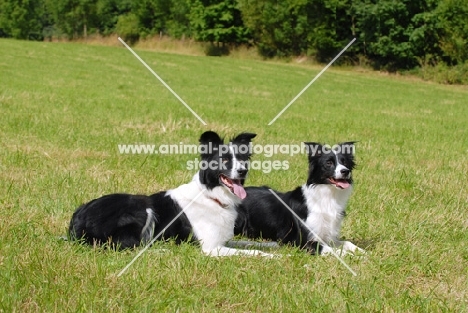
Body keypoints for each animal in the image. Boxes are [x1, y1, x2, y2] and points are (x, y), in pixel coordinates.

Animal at [69, 130, 272, 255]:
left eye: (242, 159)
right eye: (225, 160)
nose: (242, 171)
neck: (211, 195)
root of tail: (77, 219)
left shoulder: (223, 241)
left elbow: (249, 243)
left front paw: (272, 245)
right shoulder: (211, 248)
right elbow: (252, 252)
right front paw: (271, 256)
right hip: (141, 207)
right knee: (128, 246)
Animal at [236, 141, 364, 254]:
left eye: (345, 163)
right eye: (329, 163)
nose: (345, 171)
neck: (328, 196)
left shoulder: (328, 237)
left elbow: (347, 242)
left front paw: (362, 252)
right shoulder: (303, 241)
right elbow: (331, 249)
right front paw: (347, 255)